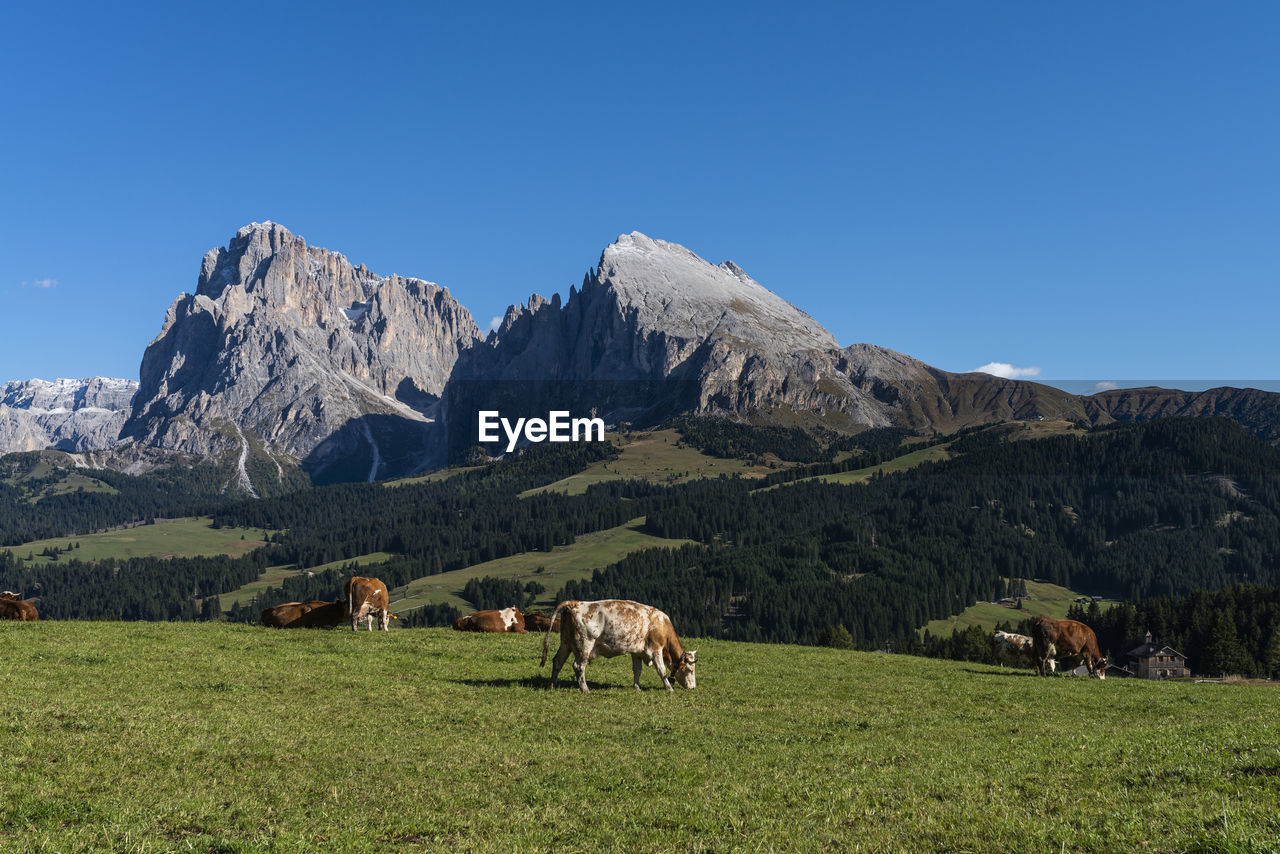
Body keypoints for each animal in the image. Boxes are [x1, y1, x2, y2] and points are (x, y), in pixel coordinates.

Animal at [540, 601, 701, 696]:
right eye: (690, 670)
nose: (693, 687)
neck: (661, 625)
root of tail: (574, 603)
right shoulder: (655, 649)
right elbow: (662, 670)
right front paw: (669, 687)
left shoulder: (637, 651)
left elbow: (637, 670)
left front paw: (637, 687)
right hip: (584, 644)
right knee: (578, 666)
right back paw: (585, 689)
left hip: (565, 642)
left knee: (558, 661)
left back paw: (552, 685)